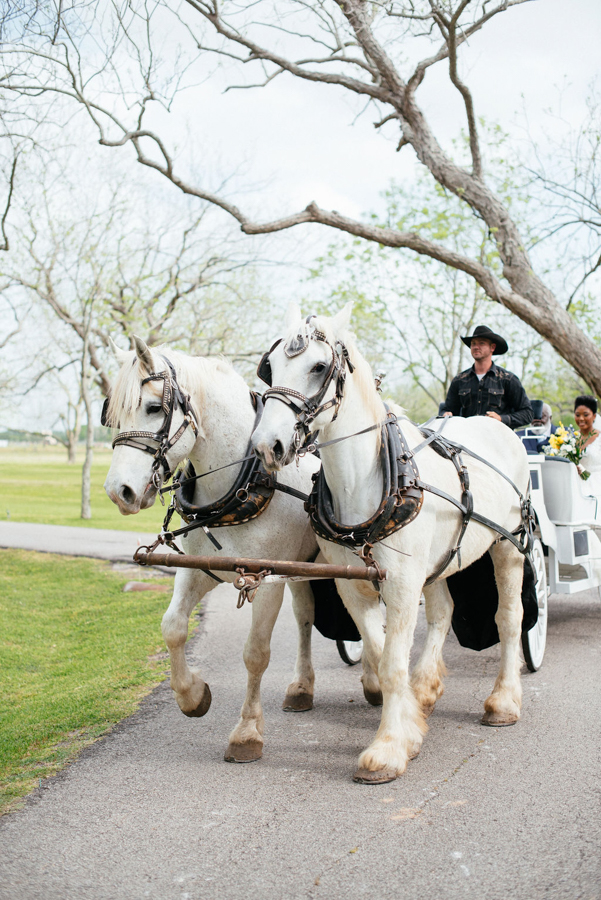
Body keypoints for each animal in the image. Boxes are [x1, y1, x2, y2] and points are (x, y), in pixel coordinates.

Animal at [104, 342, 318, 764]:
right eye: (113, 413)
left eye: (152, 407)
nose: (118, 491)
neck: (246, 483)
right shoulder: (197, 570)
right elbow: (171, 627)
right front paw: (192, 695)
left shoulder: (267, 580)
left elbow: (255, 653)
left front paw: (247, 732)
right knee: (305, 615)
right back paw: (302, 687)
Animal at [252, 306, 528, 784]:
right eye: (268, 369)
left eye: (319, 367)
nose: (268, 445)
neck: (366, 483)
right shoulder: (353, 584)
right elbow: (382, 654)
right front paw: (410, 720)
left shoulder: (400, 583)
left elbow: (393, 661)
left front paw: (388, 747)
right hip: (437, 563)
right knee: (442, 613)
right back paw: (427, 686)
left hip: (508, 547)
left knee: (509, 619)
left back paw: (503, 701)